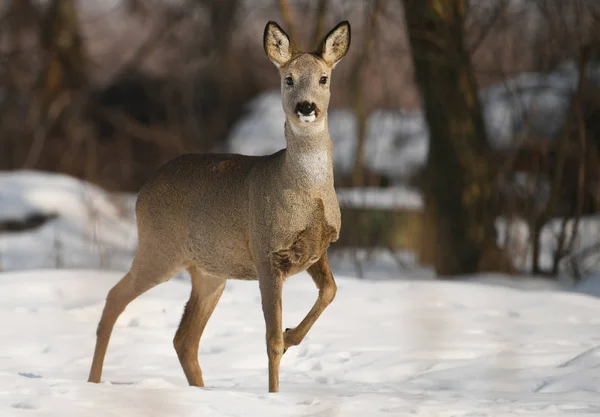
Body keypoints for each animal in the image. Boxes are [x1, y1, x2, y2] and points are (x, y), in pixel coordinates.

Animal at [89, 19, 352, 392]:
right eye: (288, 78)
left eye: (324, 78)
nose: (306, 107)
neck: (307, 192)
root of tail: (143, 190)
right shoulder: (266, 250)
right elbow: (270, 340)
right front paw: (274, 391)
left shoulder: (319, 248)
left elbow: (330, 291)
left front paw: (291, 336)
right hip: (159, 248)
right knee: (115, 298)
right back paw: (93, 381)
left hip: (210, 272)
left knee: (184, 339)